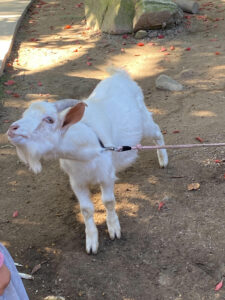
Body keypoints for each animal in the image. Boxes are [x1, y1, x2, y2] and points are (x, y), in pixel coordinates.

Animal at [7, 69, 168, 254]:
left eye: (49, 119)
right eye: (24, 115)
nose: (12, 129)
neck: (88, 148)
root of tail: (119, 74)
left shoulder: (106, 176)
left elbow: (109, 201)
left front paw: (114, 229)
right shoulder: (77, 182)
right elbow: (86, 209)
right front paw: (91, 242)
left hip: (144, 120)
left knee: (157, 131)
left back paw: (163, 159)